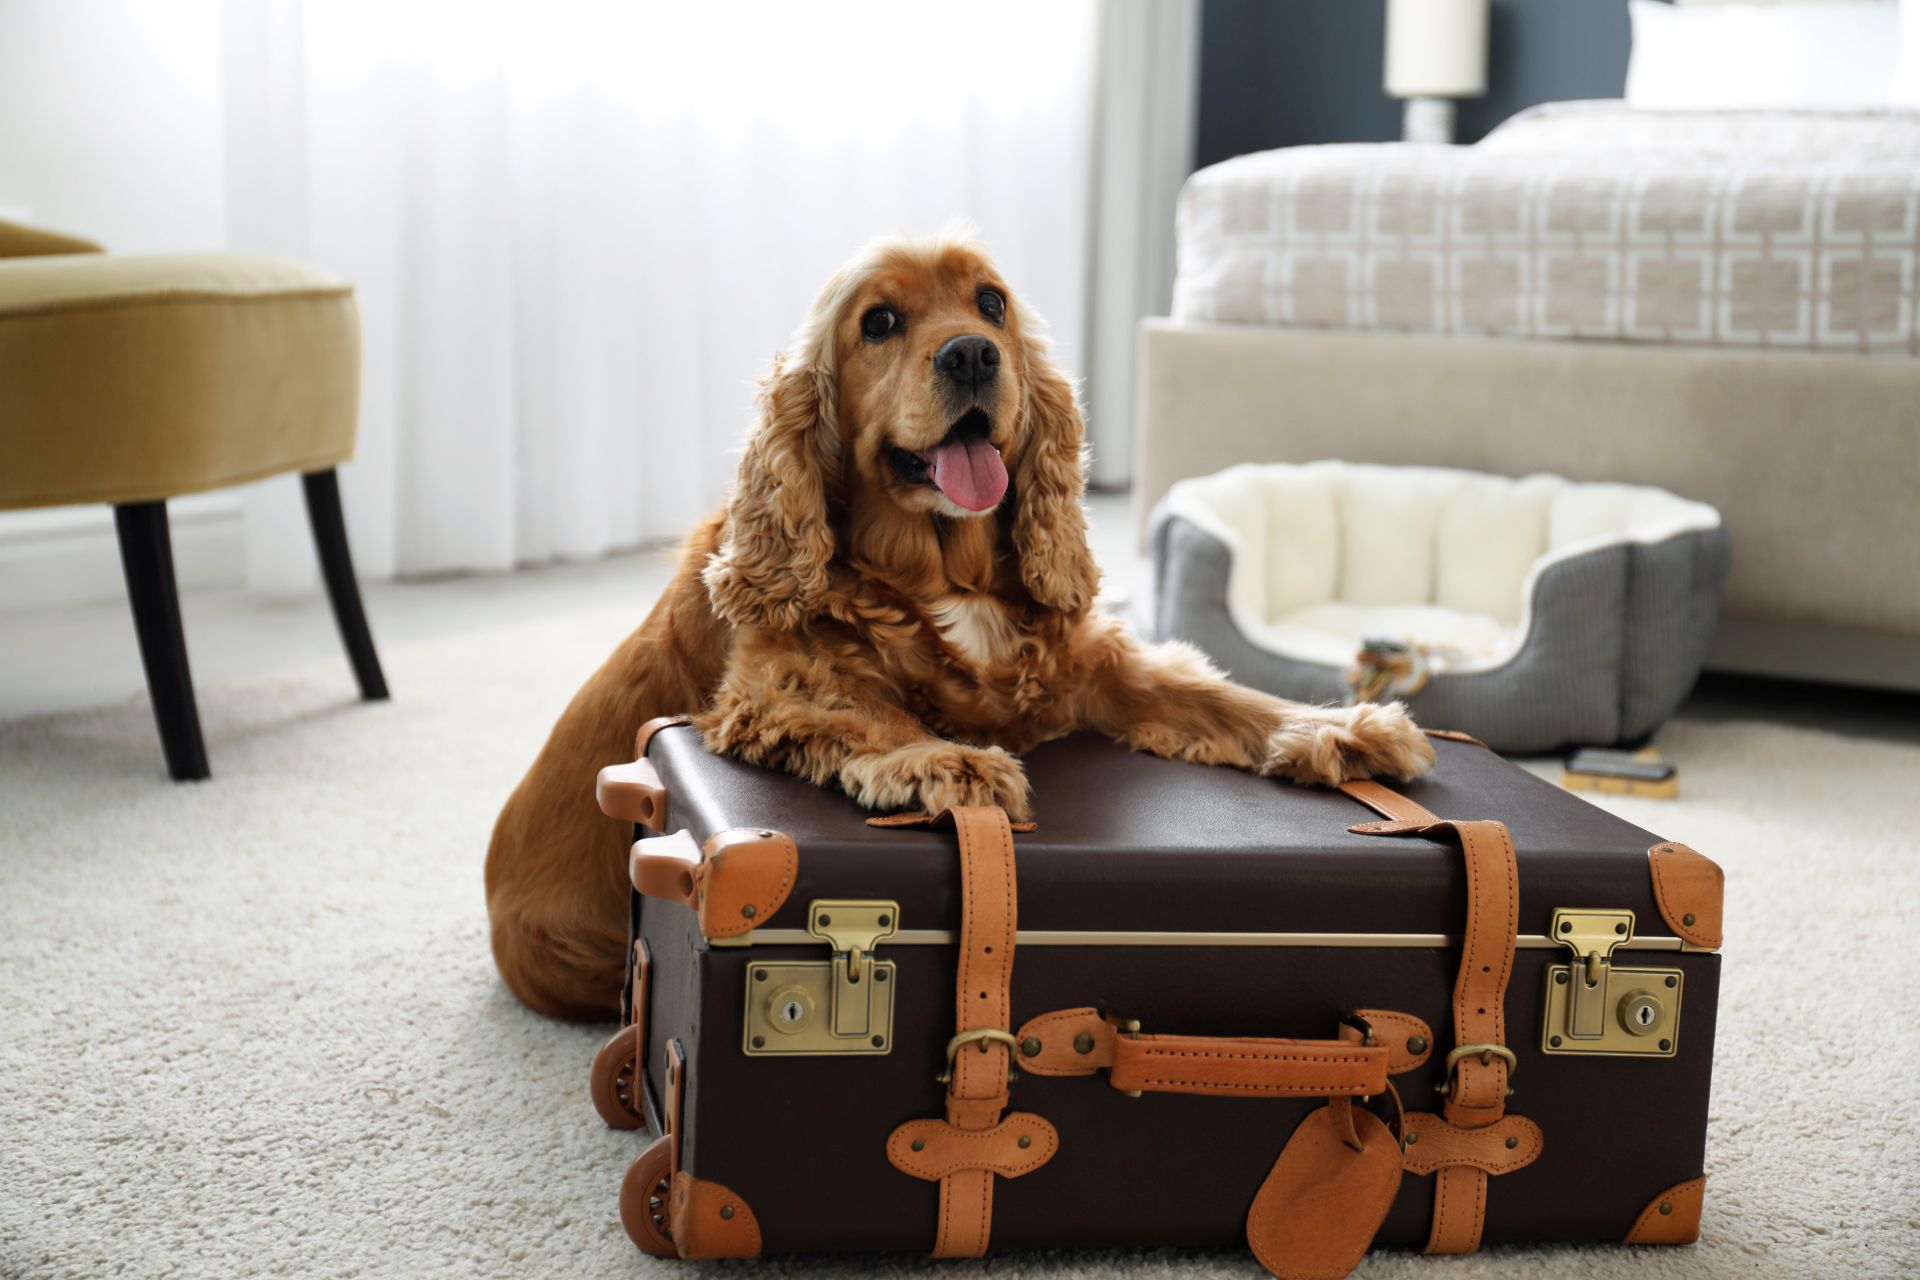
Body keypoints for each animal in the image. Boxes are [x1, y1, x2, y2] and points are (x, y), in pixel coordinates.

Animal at [487, 233, 1436, 1020]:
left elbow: (1221, 696)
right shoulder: (774, 688)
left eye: (992, 305)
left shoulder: (1092, 665)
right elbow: (874, 714)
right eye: (879, 321)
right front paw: (949, 761)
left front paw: (1341, 727)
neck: (945, 572)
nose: (973, 352)